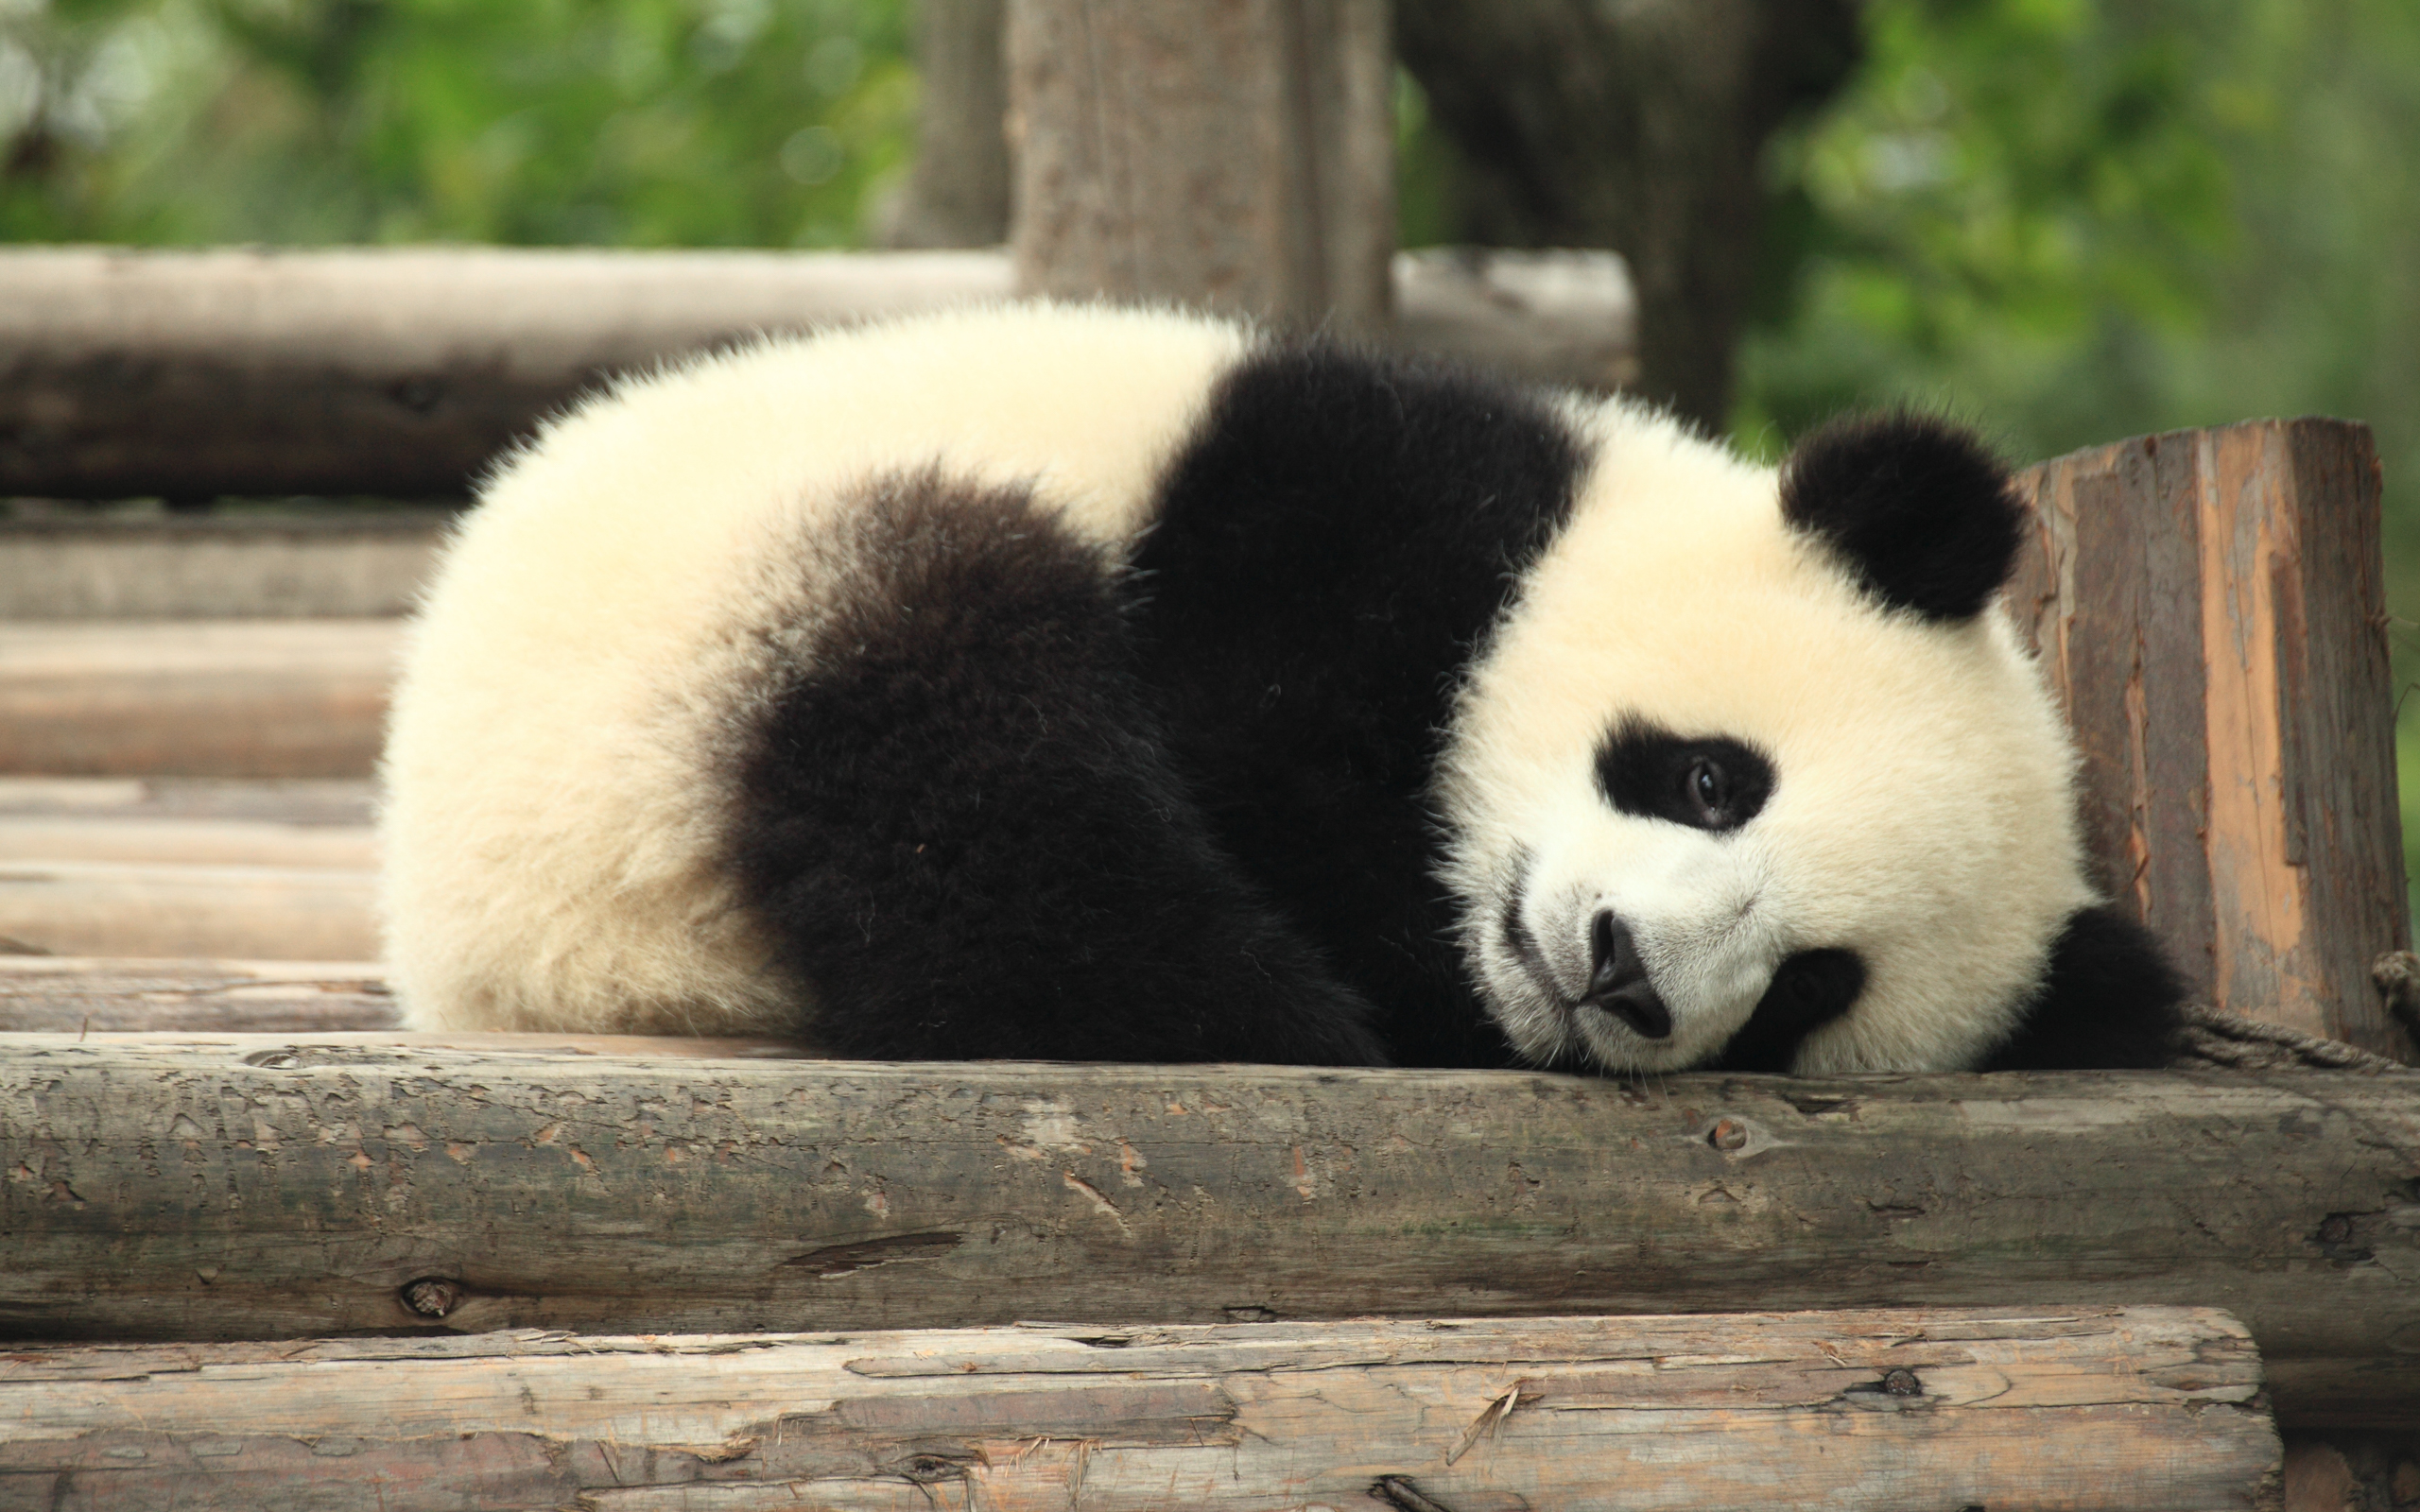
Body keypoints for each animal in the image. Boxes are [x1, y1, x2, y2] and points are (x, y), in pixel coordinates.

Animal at [382, 297, 2197, 1074]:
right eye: (1709, 776)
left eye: (1815, 986)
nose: (1620, 977)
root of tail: (464, 943)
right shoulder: (1334, 509)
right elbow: (1254, 751)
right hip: (699, 639)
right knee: (966, 763)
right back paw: (1271, 1007)